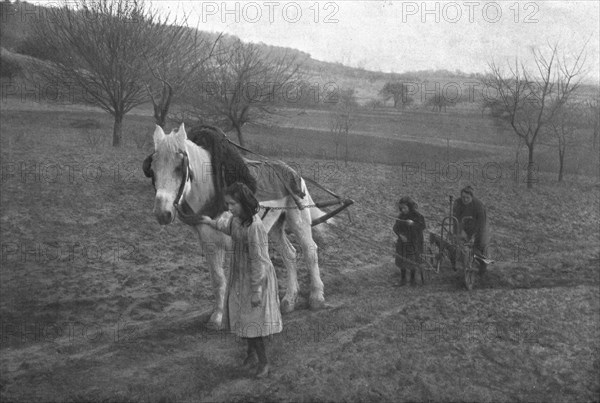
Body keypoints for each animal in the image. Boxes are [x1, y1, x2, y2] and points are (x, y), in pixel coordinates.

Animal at [149, 123, 328, 328]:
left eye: (179, 167)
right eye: (152, 169)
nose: (162, 213)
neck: (213, 191)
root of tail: (294, 173)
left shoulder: (236, 239)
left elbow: (238, 276)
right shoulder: (209, 242)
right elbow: (218, 279)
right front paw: (217, 316)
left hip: (298, 220)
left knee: (310, 251)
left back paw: (316, 297)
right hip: (275, 225)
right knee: (289, 254)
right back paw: (289, 300)